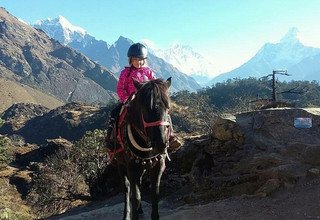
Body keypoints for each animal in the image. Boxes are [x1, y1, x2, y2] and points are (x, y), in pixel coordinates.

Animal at [112, 77, 174, 218]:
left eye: (168, 108)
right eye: (145, 109)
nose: (161, 144)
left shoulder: (158, 166)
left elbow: (154, 194)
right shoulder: (131, 168)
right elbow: (135, 196)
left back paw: (140, 210)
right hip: (120, 164)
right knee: (127, 188)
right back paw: (126, 214)